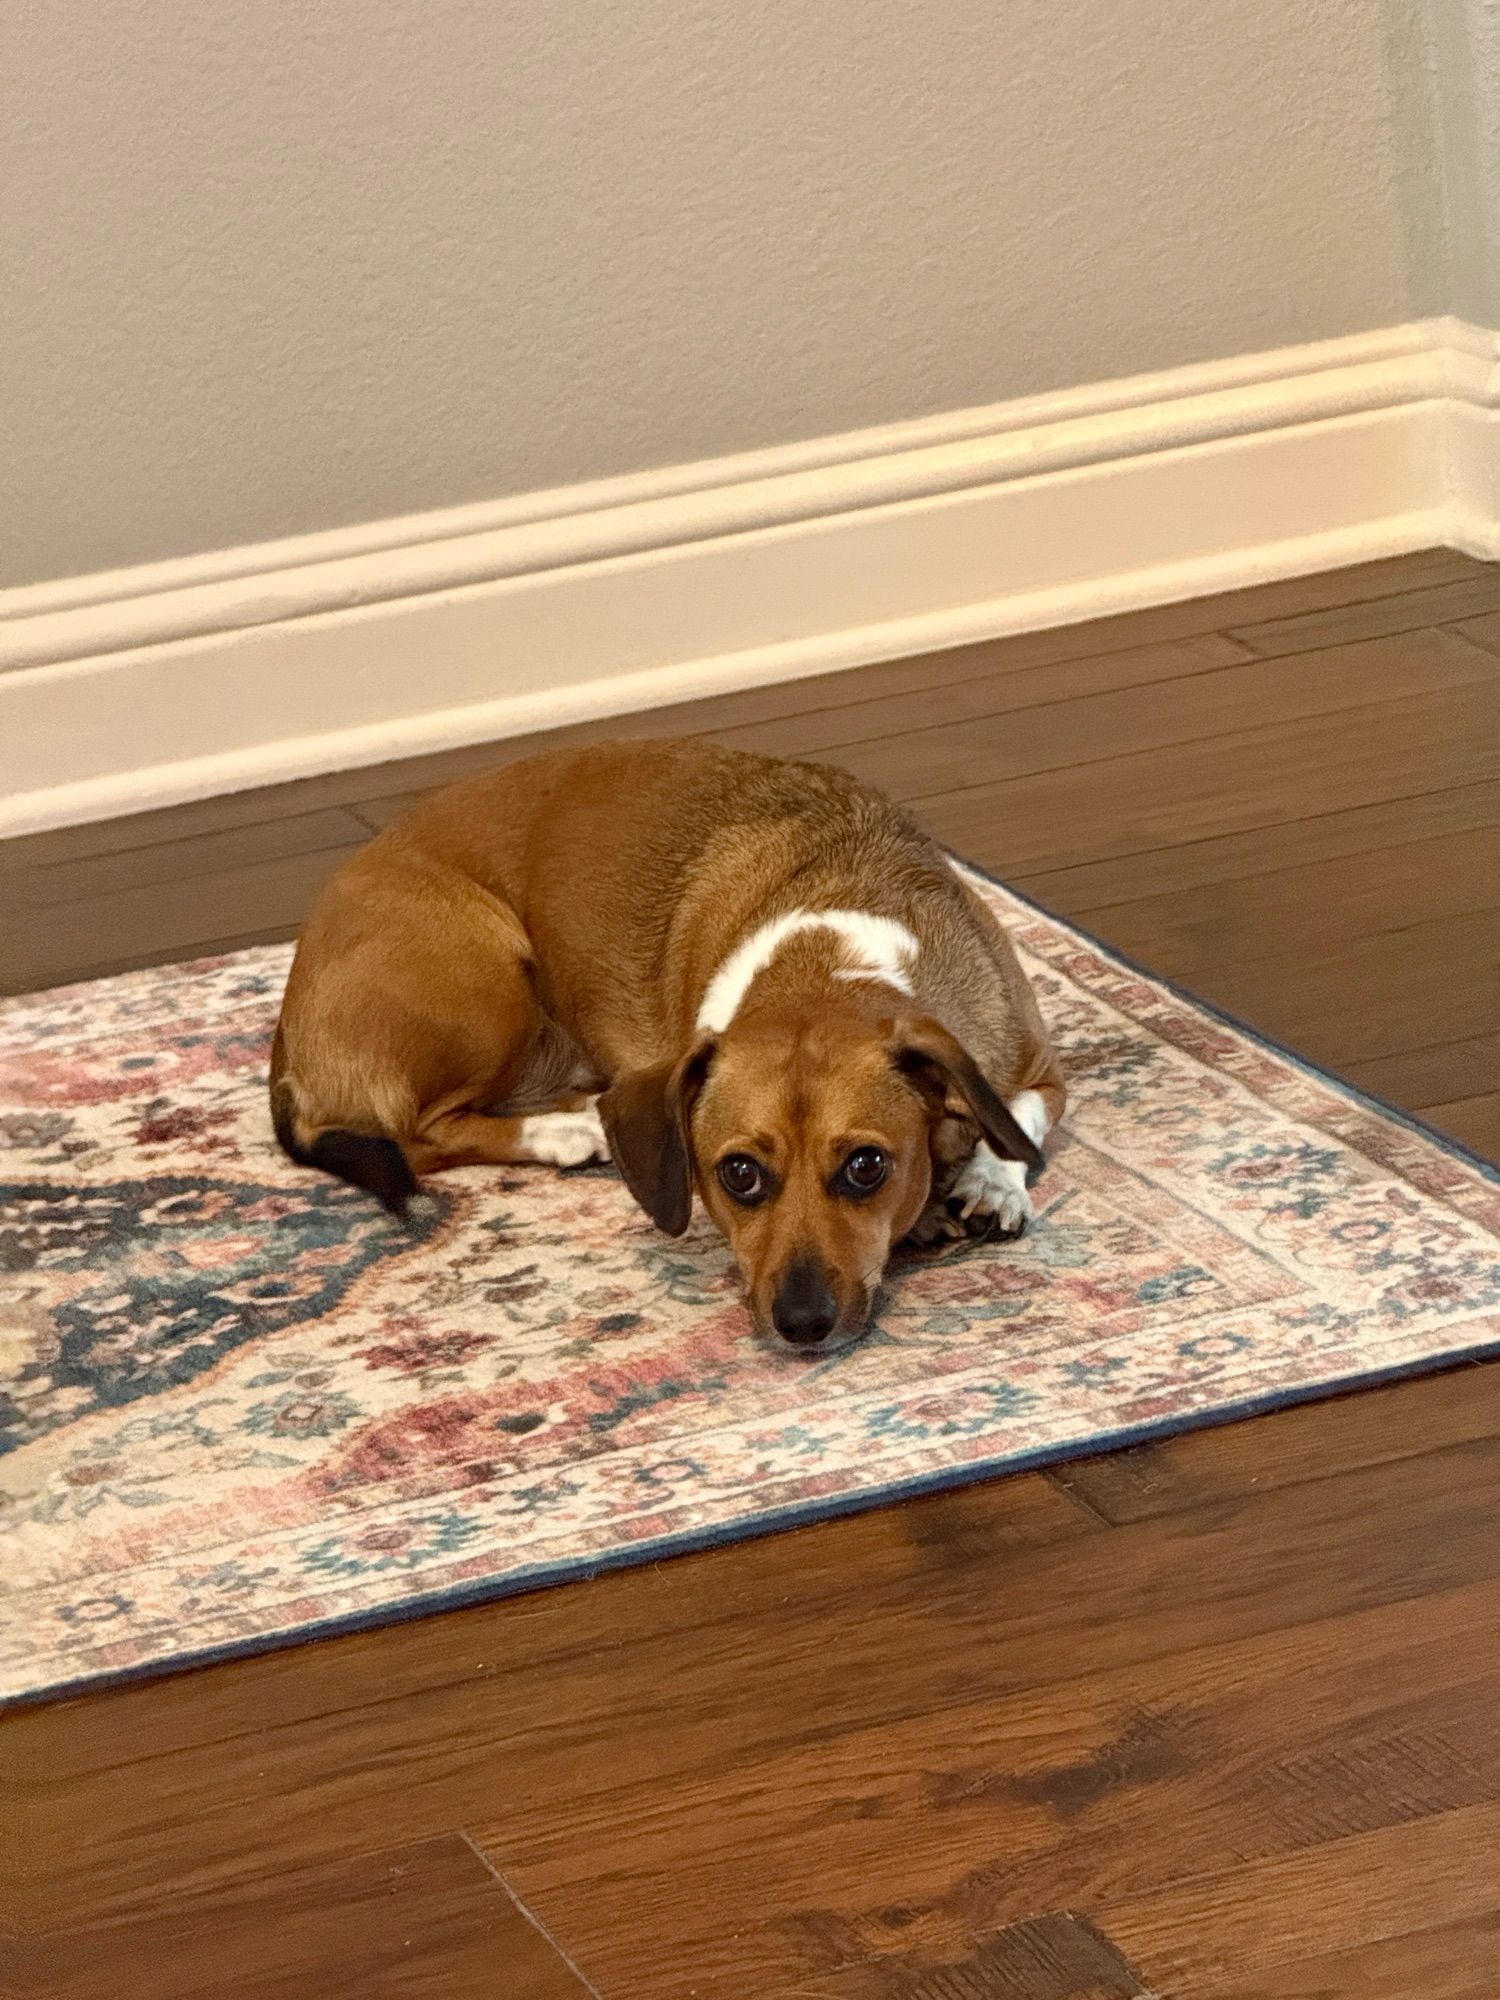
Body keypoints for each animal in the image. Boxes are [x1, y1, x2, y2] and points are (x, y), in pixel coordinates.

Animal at [270, 744, 1072, 1352]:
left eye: (867, 1166)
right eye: (739, 1174)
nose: (801, 1324)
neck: (830, 956)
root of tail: (288, 1018)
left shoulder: (1041, 1069)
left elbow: (1018, 1119)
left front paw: (991, 1182)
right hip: (487, 977)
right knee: (420, 1133)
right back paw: (567, 1130)